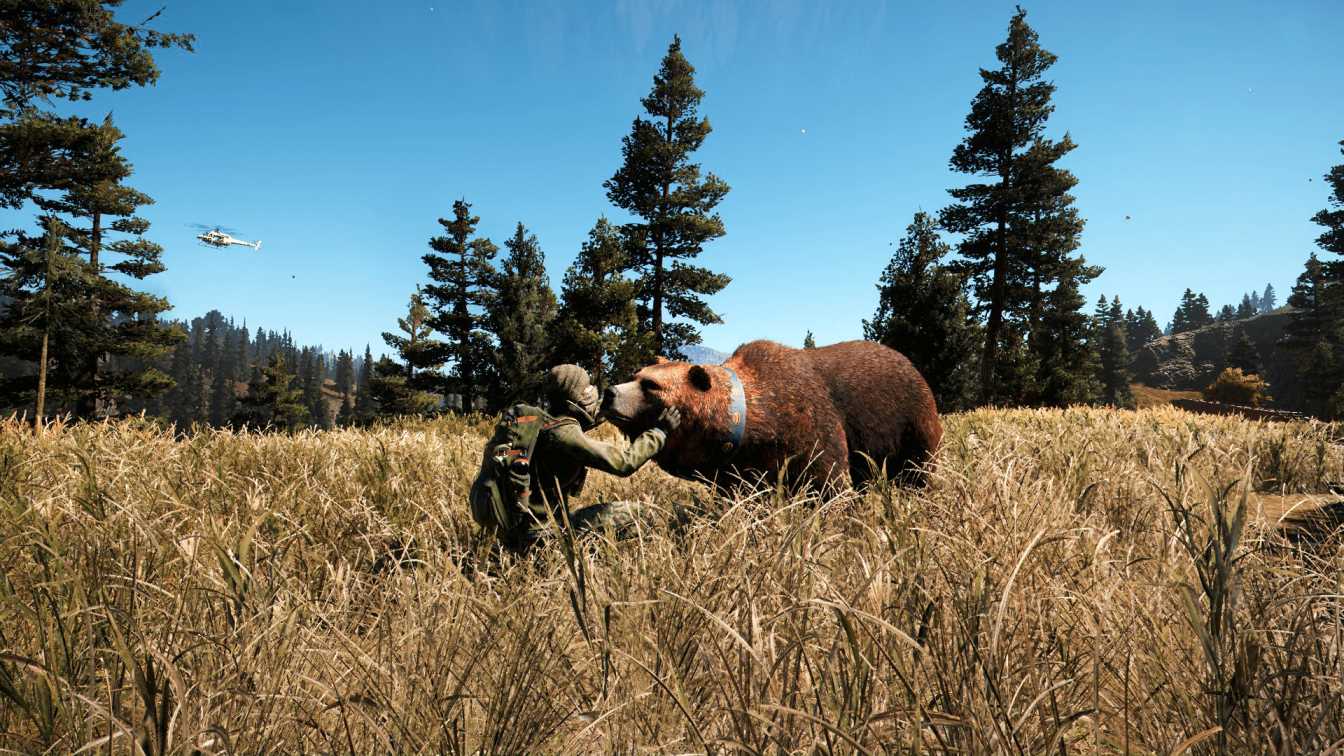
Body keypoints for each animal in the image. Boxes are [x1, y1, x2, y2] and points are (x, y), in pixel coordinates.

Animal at [604, 338, 940, 492]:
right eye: (636, 375)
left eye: (650, 385)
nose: (610, 392)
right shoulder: (739, 471)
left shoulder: (812, 428)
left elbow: (829, 481)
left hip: (912, 422)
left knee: (917, 469)